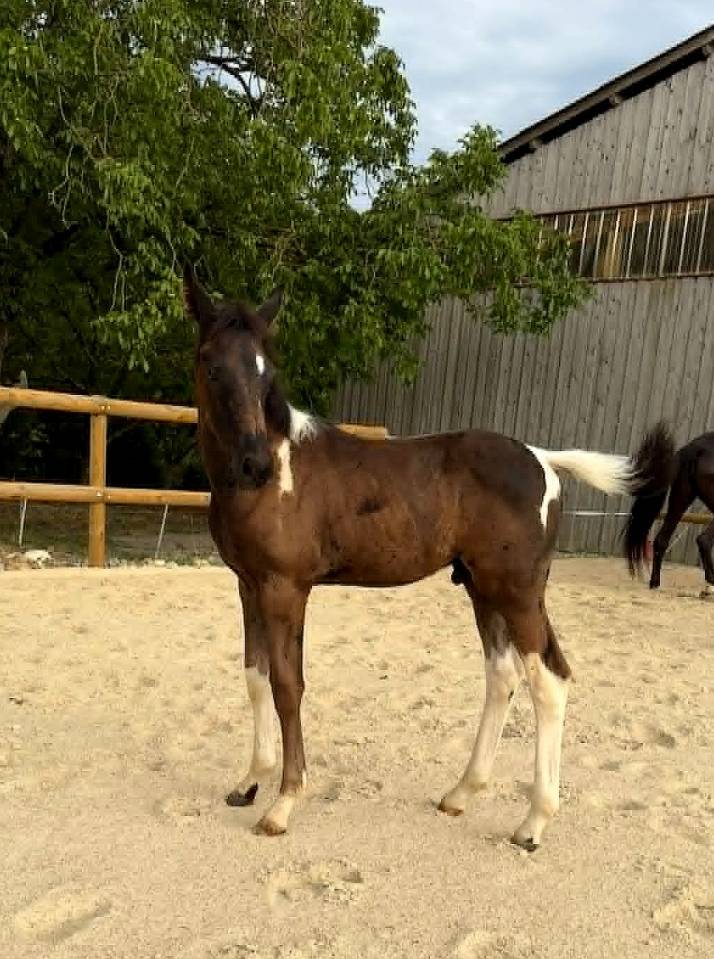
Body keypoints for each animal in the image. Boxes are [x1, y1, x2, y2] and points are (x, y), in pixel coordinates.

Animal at [183, 265, 674, 849]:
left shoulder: (285, 588)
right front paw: (249, 783)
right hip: (484, 589)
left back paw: (532, 824)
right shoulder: (248, 584)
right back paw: (460, 794)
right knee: (502, 676)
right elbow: (255, 677)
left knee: (547, 680)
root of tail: (544, 459)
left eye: (267, 370)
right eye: (212, 363)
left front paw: (282, 803)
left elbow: (287, 685)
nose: (255, 463)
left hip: (517, 592)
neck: (278, 474)